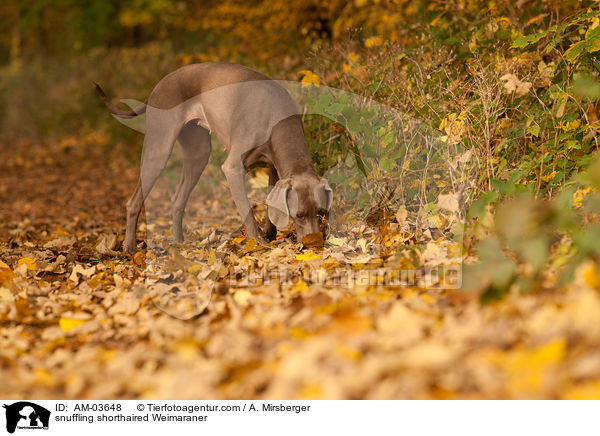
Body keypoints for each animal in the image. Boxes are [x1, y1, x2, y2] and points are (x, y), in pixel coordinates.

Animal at [96, 61, 336, 252]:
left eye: (322, 212)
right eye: (300, 215)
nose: (316, 245)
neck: (276, 118)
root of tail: (160, 84)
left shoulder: (275, 168)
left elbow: (270, 206)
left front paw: (270, 234)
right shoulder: (233, 168)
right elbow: (247, 211)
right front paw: (258, 243)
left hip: (198, 154)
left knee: (177, 199)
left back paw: (179, 242)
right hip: (160, 148)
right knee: (134, 201)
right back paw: (130, 247)